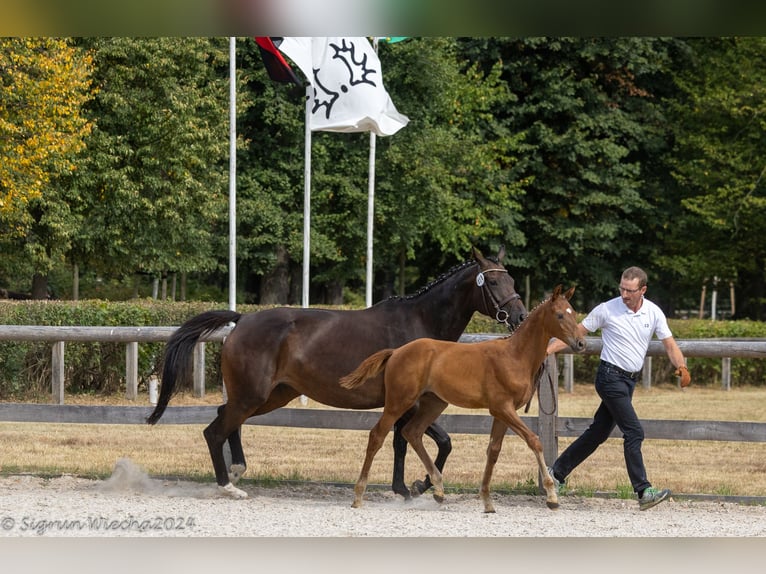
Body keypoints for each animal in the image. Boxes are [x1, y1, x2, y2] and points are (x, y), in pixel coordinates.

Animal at [147, 248, 528, 500]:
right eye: (493, 283)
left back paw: (238, 471)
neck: (419, 323)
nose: (521, 316)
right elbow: (417, 440)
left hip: (269, 394)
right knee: (215, 430)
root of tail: (243, 319)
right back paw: (228, 485)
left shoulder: (409, 404)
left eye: (511, 278)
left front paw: (410, 486)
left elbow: (418, 441)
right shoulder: (406, 402)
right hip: (253, 394)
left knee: (227, 419)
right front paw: (414, 487)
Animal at [340, 286, 584, 516]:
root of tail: (397, 351)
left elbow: (493, 450)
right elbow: (534, 441)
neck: (515, 356)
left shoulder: (502, 412)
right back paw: (358, 495)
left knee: (412, 432)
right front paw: (551, 497)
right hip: (398, 402)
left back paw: (438, 489)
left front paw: (487, 501)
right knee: (377, 435)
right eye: (559, 315)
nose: (580, 343)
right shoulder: (503, 408)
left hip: (434, 403)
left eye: (574, 313)